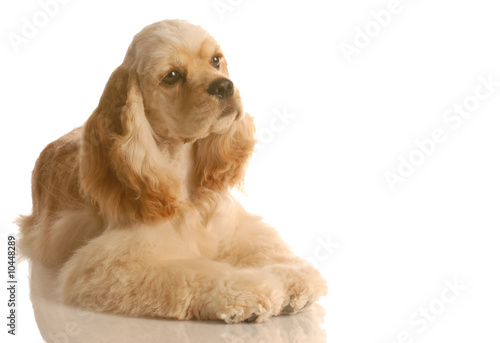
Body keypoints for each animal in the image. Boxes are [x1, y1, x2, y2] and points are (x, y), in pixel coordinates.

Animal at [17, 18, 328, 324]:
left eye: (215, 60)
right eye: (172, 76)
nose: (225, 86)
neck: (184, 184)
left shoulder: (235, 227)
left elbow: (266, 247)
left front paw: (293, 276)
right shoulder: (109, 264)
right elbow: (195, 272)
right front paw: (249, 291)